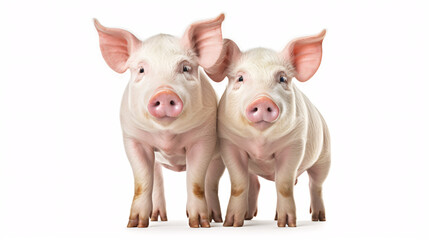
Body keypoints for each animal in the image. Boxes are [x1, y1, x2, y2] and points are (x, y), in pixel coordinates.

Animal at [93, 14, 226, 228]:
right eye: (141, 69)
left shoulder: (204, 137)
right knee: (157, 178)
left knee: (210, 182)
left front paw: (199, 224)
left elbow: (196, 182)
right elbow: (142, 181)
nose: (164, 93)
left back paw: (215, 218)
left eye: (185, 67)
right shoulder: (133, 138)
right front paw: (135, 225)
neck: (167, 137)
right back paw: (157, 218)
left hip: (218, 157)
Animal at [207, 29, 332, 227]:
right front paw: (231, 224)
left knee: (316, 184)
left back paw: (318, 218)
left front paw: (287, 224)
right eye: (240, 78)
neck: (261, 144)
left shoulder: (295, 143)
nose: (263, 100)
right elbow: (239, 183)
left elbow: (284, 184)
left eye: (282, 78)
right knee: (254, 183)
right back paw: (249, 216)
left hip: (324, 156)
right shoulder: (229, 143)